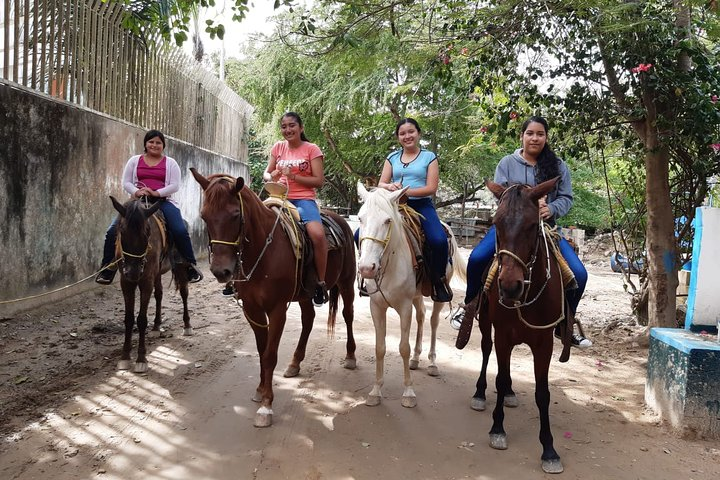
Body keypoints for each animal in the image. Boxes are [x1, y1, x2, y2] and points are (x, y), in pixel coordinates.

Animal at [107, 197, 191, 374]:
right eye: (122, 231)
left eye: (147, 232)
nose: (133, 272)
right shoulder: (126, 282)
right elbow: (129, 318)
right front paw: (125, 357)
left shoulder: (145, 281)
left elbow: (141, 319)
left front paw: (141, 359)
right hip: (156, 274)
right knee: (159, 294)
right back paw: (156, 327)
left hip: (181, 267)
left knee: (184, 293)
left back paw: (187, 326)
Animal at [190, 169, 358, 428]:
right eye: (204, 216)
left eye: (235, 215)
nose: (221, 271)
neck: (263, 251)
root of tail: (340, 220)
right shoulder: (252, 309)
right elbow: (262, 350)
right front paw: (260, 390)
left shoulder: (277, 309)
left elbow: (270, 355)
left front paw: (266, 406)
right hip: (305, 294)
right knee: (308, 319)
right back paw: (295, 363)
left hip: (347, 282)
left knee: (348, 315)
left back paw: (350, 356)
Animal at [476, 178, 572, 474]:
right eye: (496, 222)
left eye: (532, 225)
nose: (509, 286)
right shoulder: (503, 336)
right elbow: (500, 376)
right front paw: (497, 428)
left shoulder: (545, 343)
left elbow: (543, 393)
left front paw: (549, 450)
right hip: (486, 325)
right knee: (486, 351)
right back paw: (480, 393)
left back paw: (508, 394)